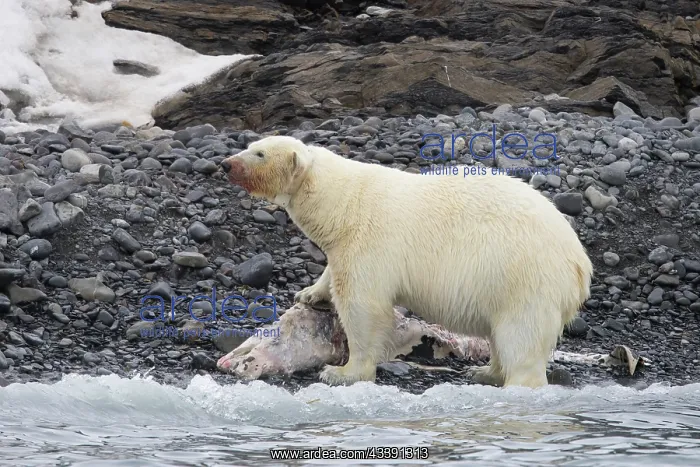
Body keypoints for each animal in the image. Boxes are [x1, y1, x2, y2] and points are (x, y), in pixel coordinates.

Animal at [220, 135, 593, 388]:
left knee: (521, 335)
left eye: (259, 153)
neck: (343, 205)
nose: (226, 164)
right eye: (252, 144)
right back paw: (485, 371)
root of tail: (580, 264)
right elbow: (332, 272)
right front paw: (309, 293)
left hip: (526, 277)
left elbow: (364, 306)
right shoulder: (345, 245)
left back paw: (512, 383)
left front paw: (341, 372)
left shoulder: (371, 241)